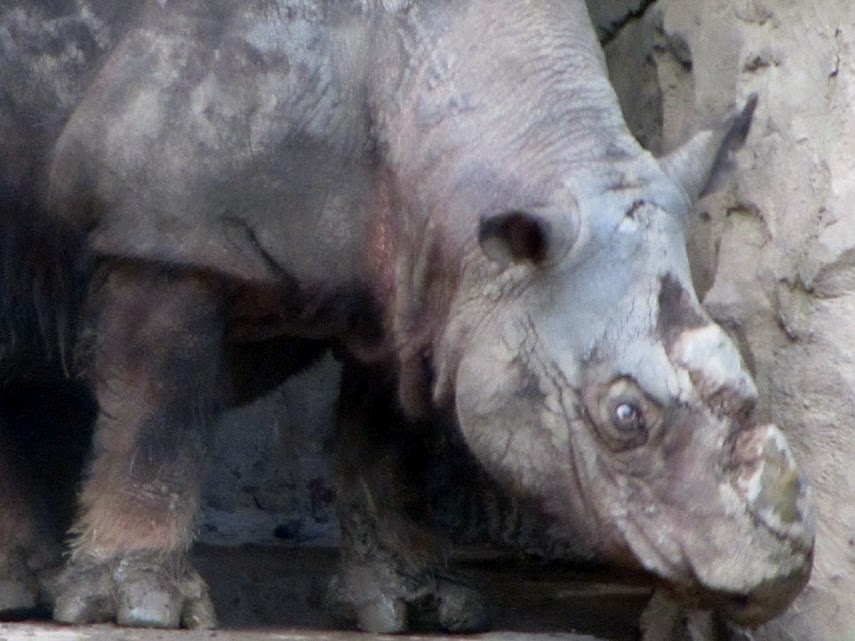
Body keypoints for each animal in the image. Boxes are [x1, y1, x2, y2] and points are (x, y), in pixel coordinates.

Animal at [0, 0, 813, 634]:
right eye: (624, 415)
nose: (777, 575)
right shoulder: (170, 239)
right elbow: (157, 419)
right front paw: (139, 609)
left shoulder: (423, 279)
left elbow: (387, 439)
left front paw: (415, 606)